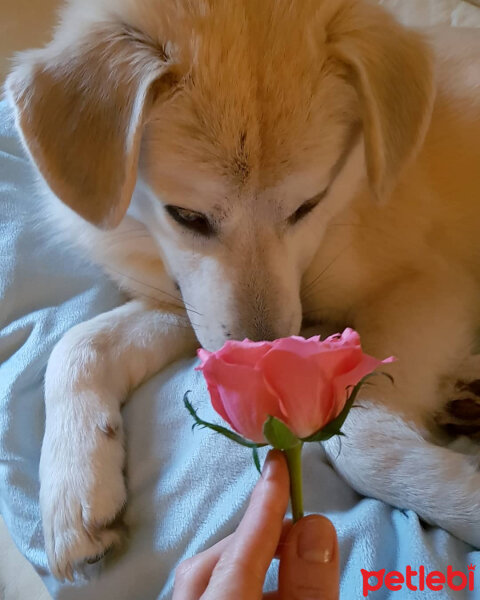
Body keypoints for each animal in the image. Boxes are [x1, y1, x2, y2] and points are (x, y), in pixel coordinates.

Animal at [3, 0, 480, 580]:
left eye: (309, 204)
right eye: (186, 216)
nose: (266, 378)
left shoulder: (432, 285)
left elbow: (363, 439)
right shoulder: (191, 306)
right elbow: (78, 345)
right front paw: (75, 489)